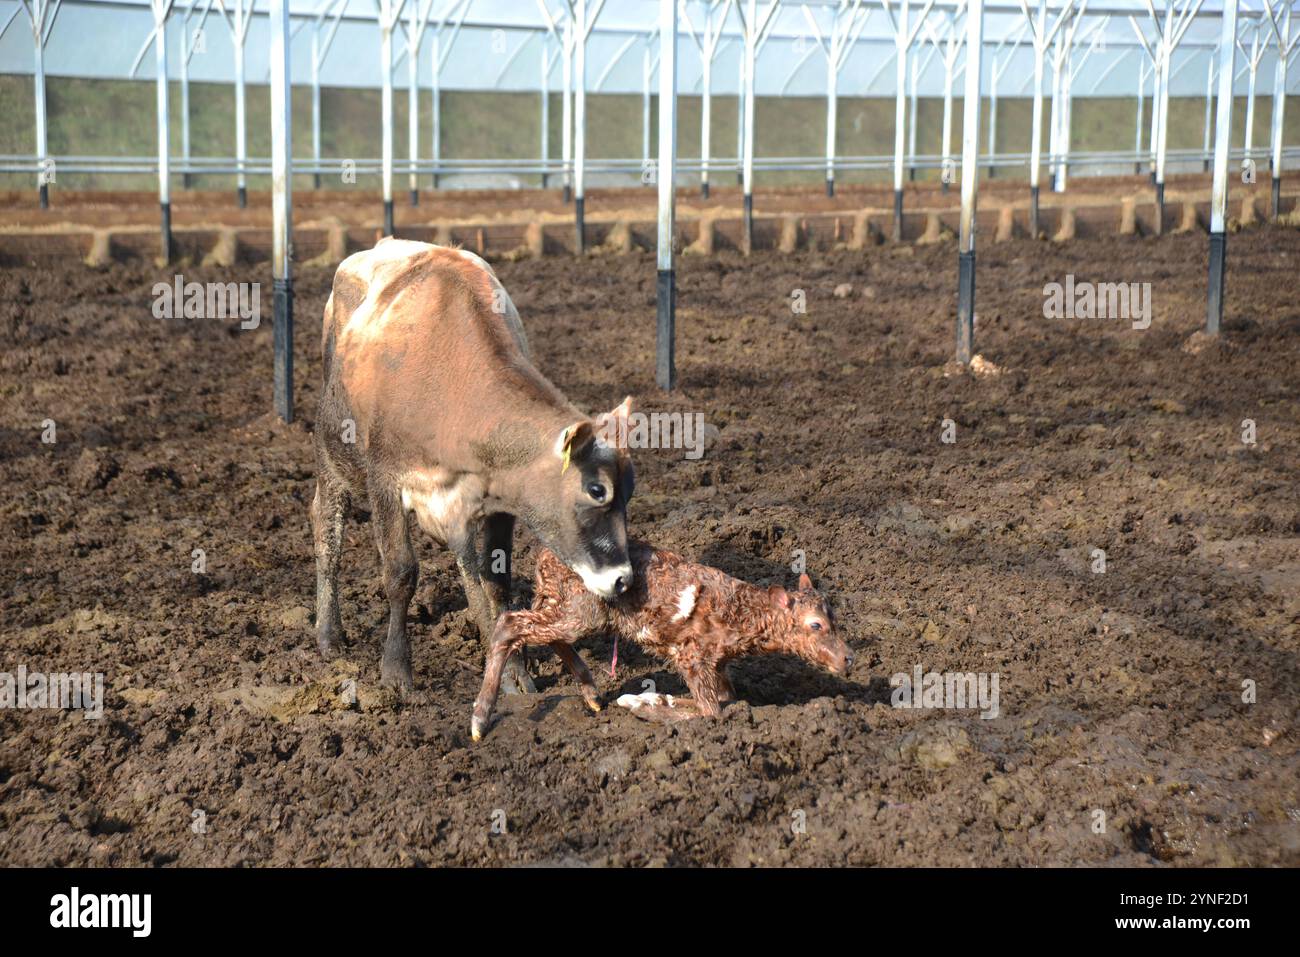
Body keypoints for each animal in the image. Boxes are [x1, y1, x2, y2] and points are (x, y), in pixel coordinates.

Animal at [311, 239, 636, 696]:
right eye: (596, 490)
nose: (623, 580)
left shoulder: (497, 500)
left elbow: (494, 581)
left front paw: (514, 672)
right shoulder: (384, 480)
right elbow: (400, 573)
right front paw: (396, 670)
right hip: (333, 448)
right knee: (327, 529)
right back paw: (329, 634)